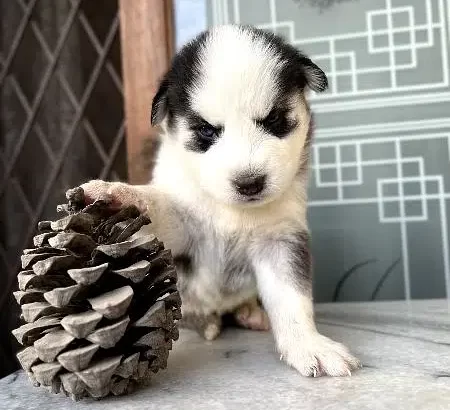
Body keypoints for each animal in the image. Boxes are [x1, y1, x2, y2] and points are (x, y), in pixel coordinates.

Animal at [81, 24, 360, 378]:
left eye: (273, 120)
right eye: (206, 130)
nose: (249, 183)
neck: (233, 212)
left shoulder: (280, 239)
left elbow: (292, 297)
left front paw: (309, 344)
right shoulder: (183, 222)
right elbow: (157, 206)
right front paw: (118, 194)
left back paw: (249, 312)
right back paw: (204, 320)